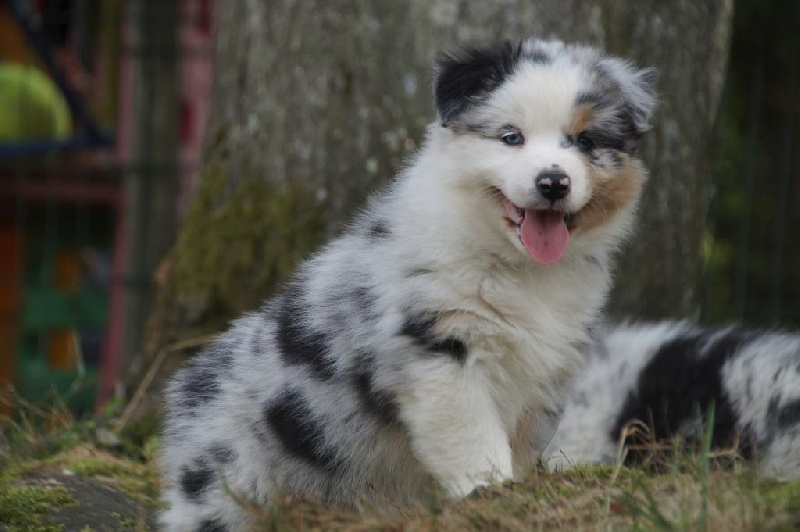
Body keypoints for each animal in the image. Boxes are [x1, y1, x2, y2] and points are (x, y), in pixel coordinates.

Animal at [160, 38, 657, 531]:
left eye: (586, 141)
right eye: (511, 137)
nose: (553, 182)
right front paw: (491, 496)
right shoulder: (440, 350)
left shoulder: (545, 371)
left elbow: (521, 442)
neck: (520, 269)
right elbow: (475, 440)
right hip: (230, 486)